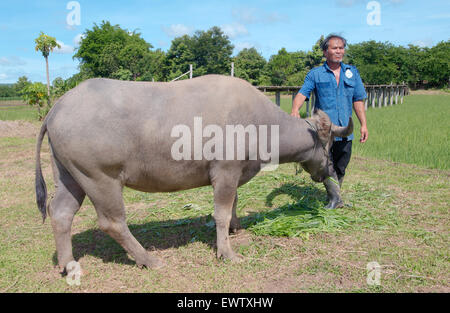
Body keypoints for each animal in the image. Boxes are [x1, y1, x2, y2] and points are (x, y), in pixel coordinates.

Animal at [36, 74, 352, 270]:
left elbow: (234, 203)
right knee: (112, 222)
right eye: (329, 145)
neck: (258, 122)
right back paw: (148, 259)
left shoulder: (233, 175)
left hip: (69, 176)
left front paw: (236, 228)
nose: (330, 171)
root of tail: (57, 108)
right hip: (100, 178)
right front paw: (227, 252)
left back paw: (67, 264)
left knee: (61, 213)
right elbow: (220, 212)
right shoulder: (225, 172)